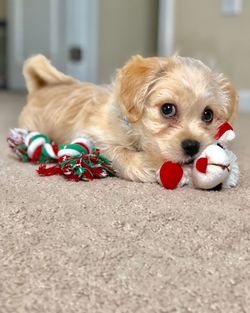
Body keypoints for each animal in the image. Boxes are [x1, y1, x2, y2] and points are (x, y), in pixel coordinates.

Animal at [18, 55, 237, 183]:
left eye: (208, 114)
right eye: (167, 109)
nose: (193, 147)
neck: (132, 128)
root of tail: (39, 89)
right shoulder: (94, 139)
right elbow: (120, 153)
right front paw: (154, 166)